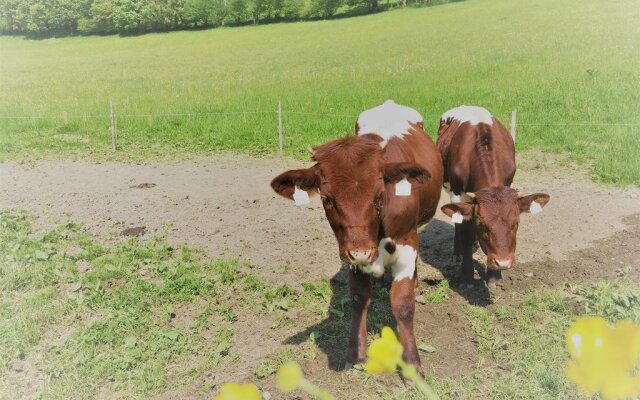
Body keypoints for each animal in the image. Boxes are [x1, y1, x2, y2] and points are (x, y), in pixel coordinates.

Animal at [268, 100, 440, 372]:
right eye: (327, 199)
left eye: (379, 195)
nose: (361, 252)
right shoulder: (351, 254)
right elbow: (359, 298)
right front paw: (356, 353)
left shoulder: (407, 242)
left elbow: (403, 304)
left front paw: (412, 362)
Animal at [438, 105, 552, 284]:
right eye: (483, 225)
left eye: (516, 224)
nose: (503, 262)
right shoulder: (457, 192)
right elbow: (465, 231)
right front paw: (466, 273)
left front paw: (494, 275)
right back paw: (457, 252)